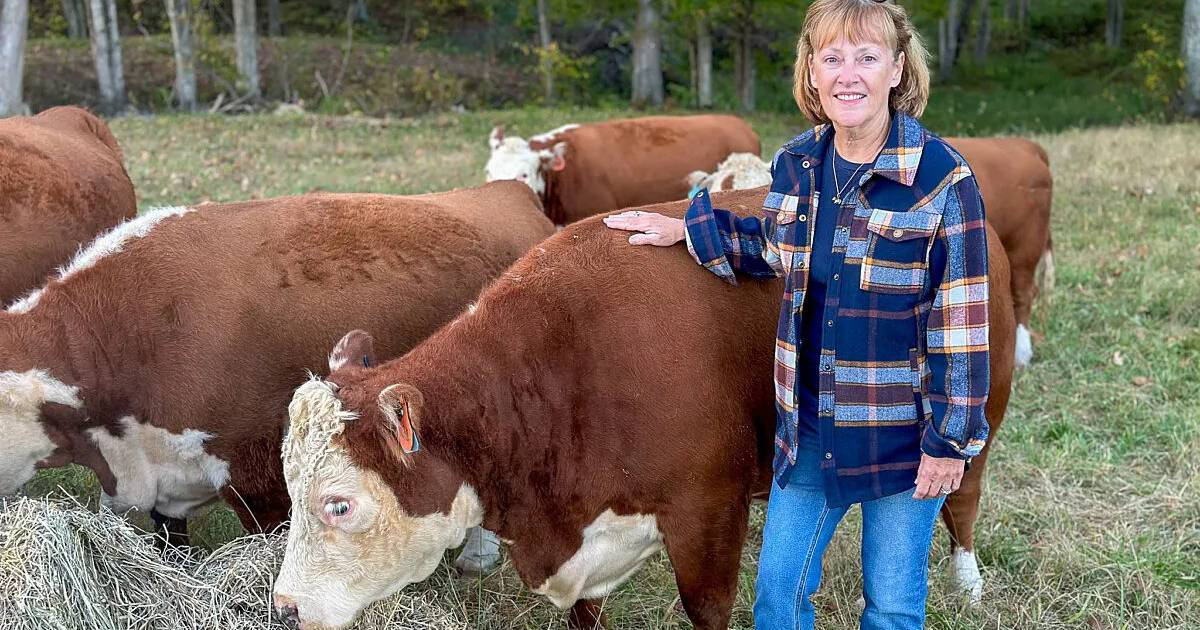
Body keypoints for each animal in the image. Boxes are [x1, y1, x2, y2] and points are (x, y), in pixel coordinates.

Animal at [271, 187, 1014, 629]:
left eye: (339, 504)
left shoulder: (707, 516)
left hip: (981, 410)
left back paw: (968, 580)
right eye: (290, 489)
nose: (282, 608)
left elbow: (708, 607)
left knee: (962, 496)